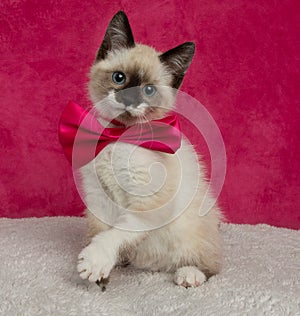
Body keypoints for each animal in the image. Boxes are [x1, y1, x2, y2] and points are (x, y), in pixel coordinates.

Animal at [77, 11, 223, 288]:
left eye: (148, 90)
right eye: (119, 78)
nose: (129, 100)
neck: (118, 135)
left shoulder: (147, 205)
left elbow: (113, 235)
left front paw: (95, 262)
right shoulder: (98, 196)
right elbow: (100, 232)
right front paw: (101, 276)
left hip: (190, 228)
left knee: (211, 264)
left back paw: (189, 275)